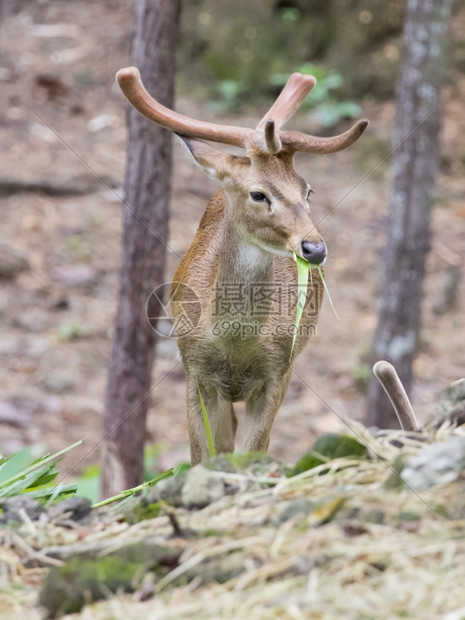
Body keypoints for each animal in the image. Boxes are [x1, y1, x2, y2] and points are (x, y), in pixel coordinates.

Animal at [116, 69, 366, 464]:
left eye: (307, 190)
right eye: (258, 193)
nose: (314, 248)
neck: (235, 344)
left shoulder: (278, 371)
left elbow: (251, 450)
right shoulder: (195, 370)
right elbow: (204, 454)